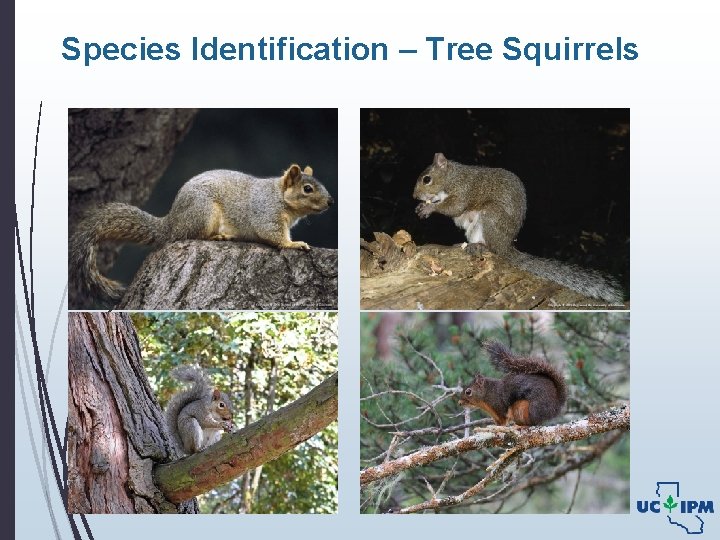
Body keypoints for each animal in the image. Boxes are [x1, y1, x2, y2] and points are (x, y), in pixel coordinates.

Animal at [70, 164, 334, 304]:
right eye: (307, 189)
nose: (331, 202)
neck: (280, 197)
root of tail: (172, 223)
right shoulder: (266, 214)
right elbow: (274, 235)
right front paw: (294, 244)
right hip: (204, 213)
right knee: (193, 235)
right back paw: (220, 236)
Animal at [413, 152, 623, 304]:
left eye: (427, 179)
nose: (415, 196)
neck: (452, 176)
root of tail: (506, 244)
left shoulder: (464, 189)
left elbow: (454, 206)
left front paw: (429, 208)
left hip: (491, 216)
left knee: (493, 248)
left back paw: (481, 246)